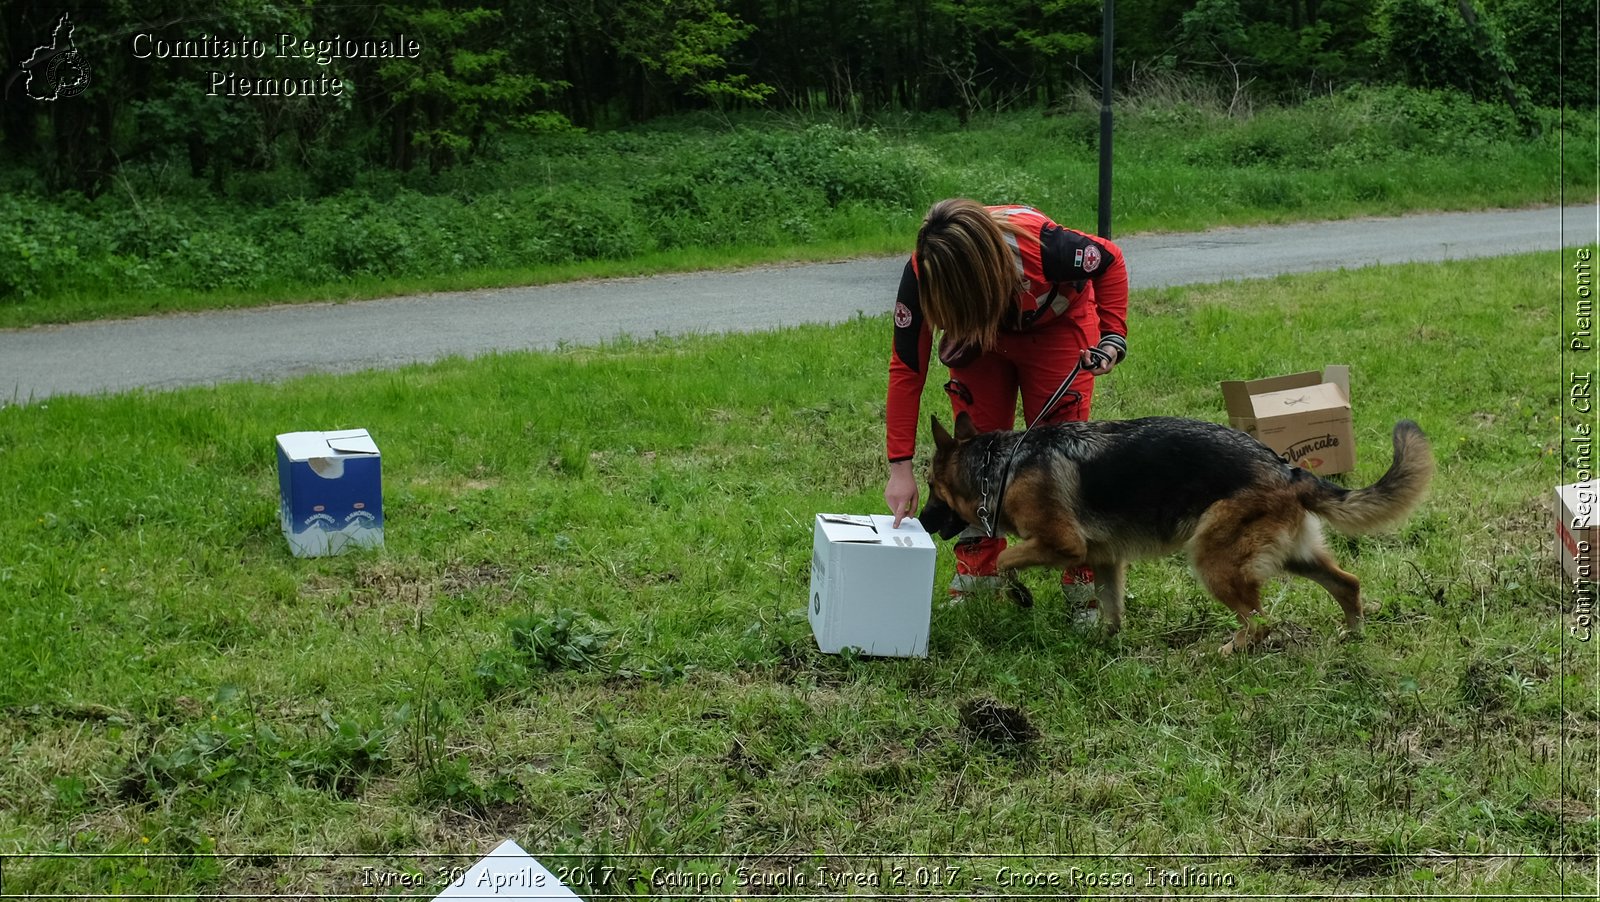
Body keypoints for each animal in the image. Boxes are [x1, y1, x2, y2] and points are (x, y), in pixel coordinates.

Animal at [921, 409, 1433, 655]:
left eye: (930, 488)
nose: (920, 521)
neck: (1002, 465)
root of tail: (1286, 468)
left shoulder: (1063, 544)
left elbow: (1006, 558)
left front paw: (1018, 593)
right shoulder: (1106, 560)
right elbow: (1111, 608)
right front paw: (1105, 642)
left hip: (1211, 561)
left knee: (1260, 622)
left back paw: (1226, 651)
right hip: (1293, 556)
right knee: (1347, 583)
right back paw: (1353, 633)